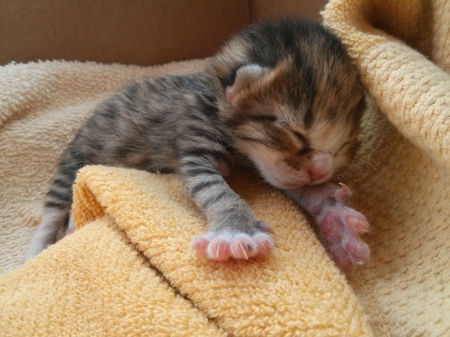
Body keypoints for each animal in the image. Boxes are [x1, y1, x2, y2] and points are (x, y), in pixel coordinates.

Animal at [26, 17, 370, 270]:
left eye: (344, 145)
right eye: (296, 133)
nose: (321, 170)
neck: (212, 101)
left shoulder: (262, 166)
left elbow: (292, 185)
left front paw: (334, 216)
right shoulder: (196, 143)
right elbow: (217, 191)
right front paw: (236, 232)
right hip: (76, 159)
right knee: (55, 209)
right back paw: (38, 250)